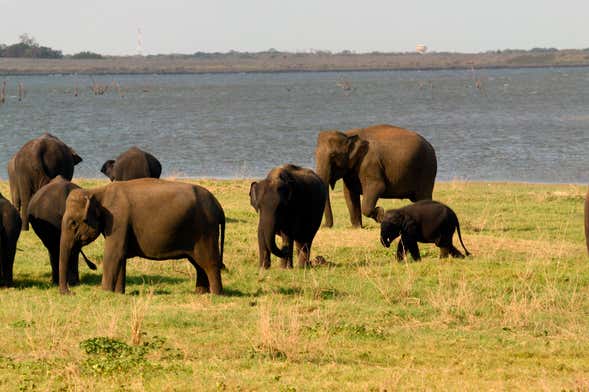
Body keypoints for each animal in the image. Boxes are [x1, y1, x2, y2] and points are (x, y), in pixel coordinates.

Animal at [58, 178, 225, 294]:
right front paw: (118, 294)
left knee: (209, 262)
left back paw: (215, 295)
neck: (98, 191)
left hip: (205, 231)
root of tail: (218, 206)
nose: (70, 293)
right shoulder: (120, 225)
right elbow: (120, 256)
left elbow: (113, 255)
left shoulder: (118, 220)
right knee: (198, 263)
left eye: (73, 223)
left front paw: (104, 293)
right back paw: (200, 293)